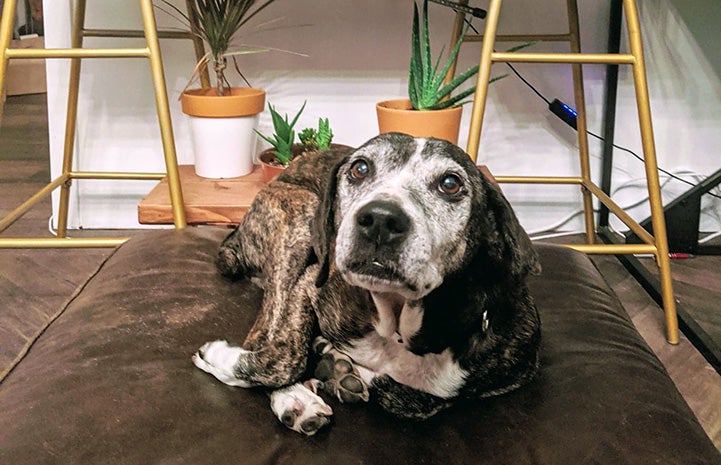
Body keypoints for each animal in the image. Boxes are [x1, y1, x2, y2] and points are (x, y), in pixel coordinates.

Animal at [191, 133, 540, 436]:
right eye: (360, 168)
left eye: (450, 184)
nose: (381, 219)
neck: (399, 328)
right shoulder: (309, 284)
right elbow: (286, 356)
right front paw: (221, 358)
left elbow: (411, 399)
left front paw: (337, 366)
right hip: (299, 218)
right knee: (265, 332)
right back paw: (293, 396)